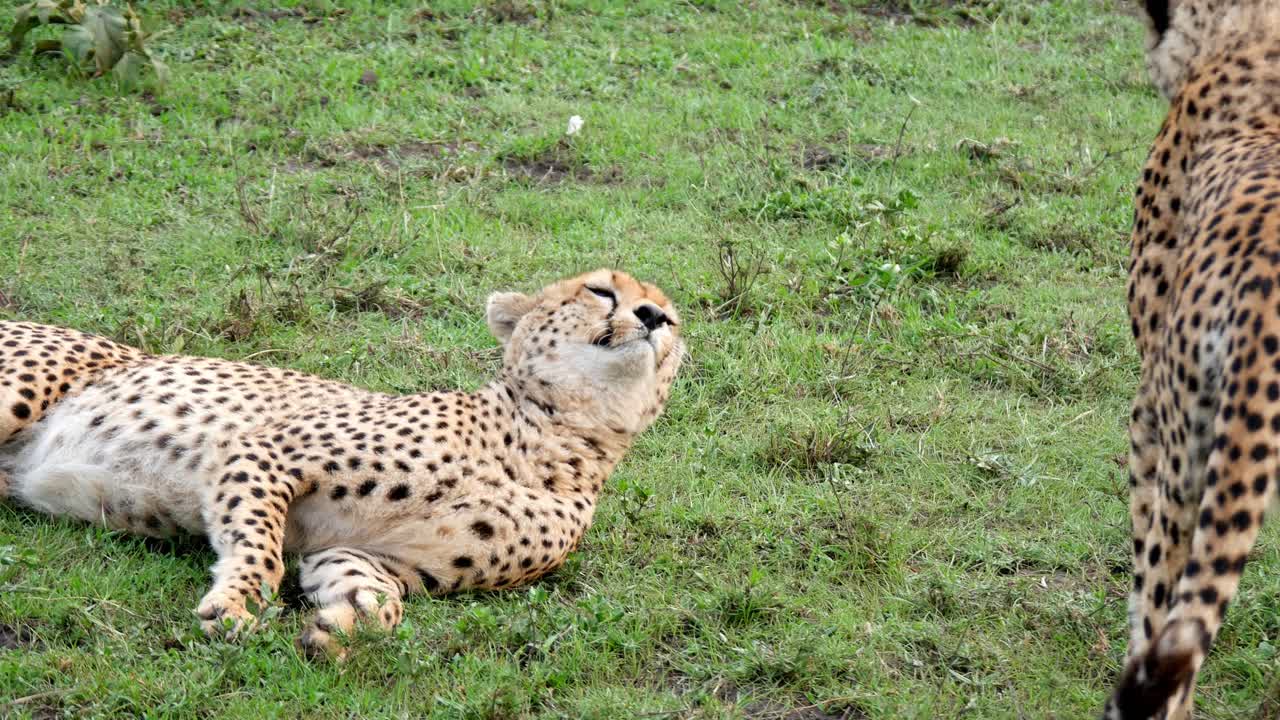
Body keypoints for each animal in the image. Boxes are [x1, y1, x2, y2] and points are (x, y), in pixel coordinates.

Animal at [0, 269, 683, 659]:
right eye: (601, 290)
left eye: (671, 315)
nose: (652, 317)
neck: (558, 433)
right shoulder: (261, 452)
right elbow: (262, 552)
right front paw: (238, 604)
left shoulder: (373, 556)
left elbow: (381, 599)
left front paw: (344, 626)